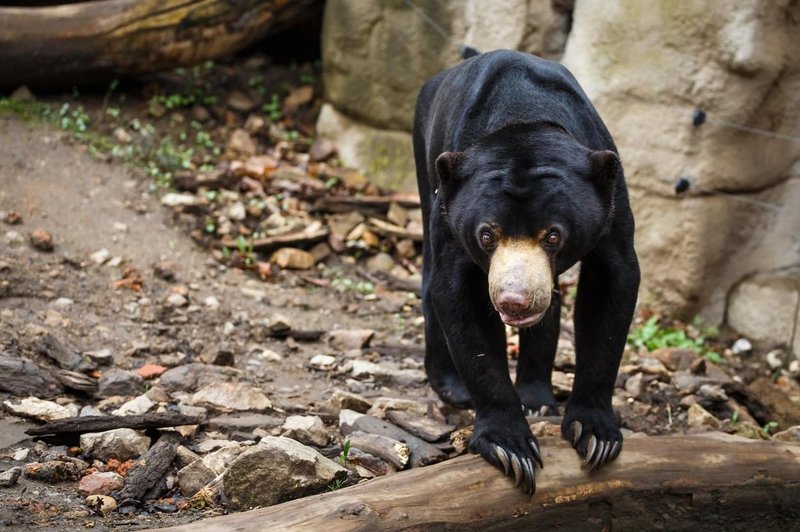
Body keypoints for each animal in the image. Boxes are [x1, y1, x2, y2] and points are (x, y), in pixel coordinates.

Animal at [416, 50, 640, 494]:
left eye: (553, 236)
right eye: (487, 235)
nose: (514, 301)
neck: (522, 114)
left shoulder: (611, 203)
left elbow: (612, 287)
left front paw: (596, 436)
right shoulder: (451, 213)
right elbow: (458, 300)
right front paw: (511, 449)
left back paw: (537, 399)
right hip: (424, 159)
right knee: (430, 277)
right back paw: (452, 387)